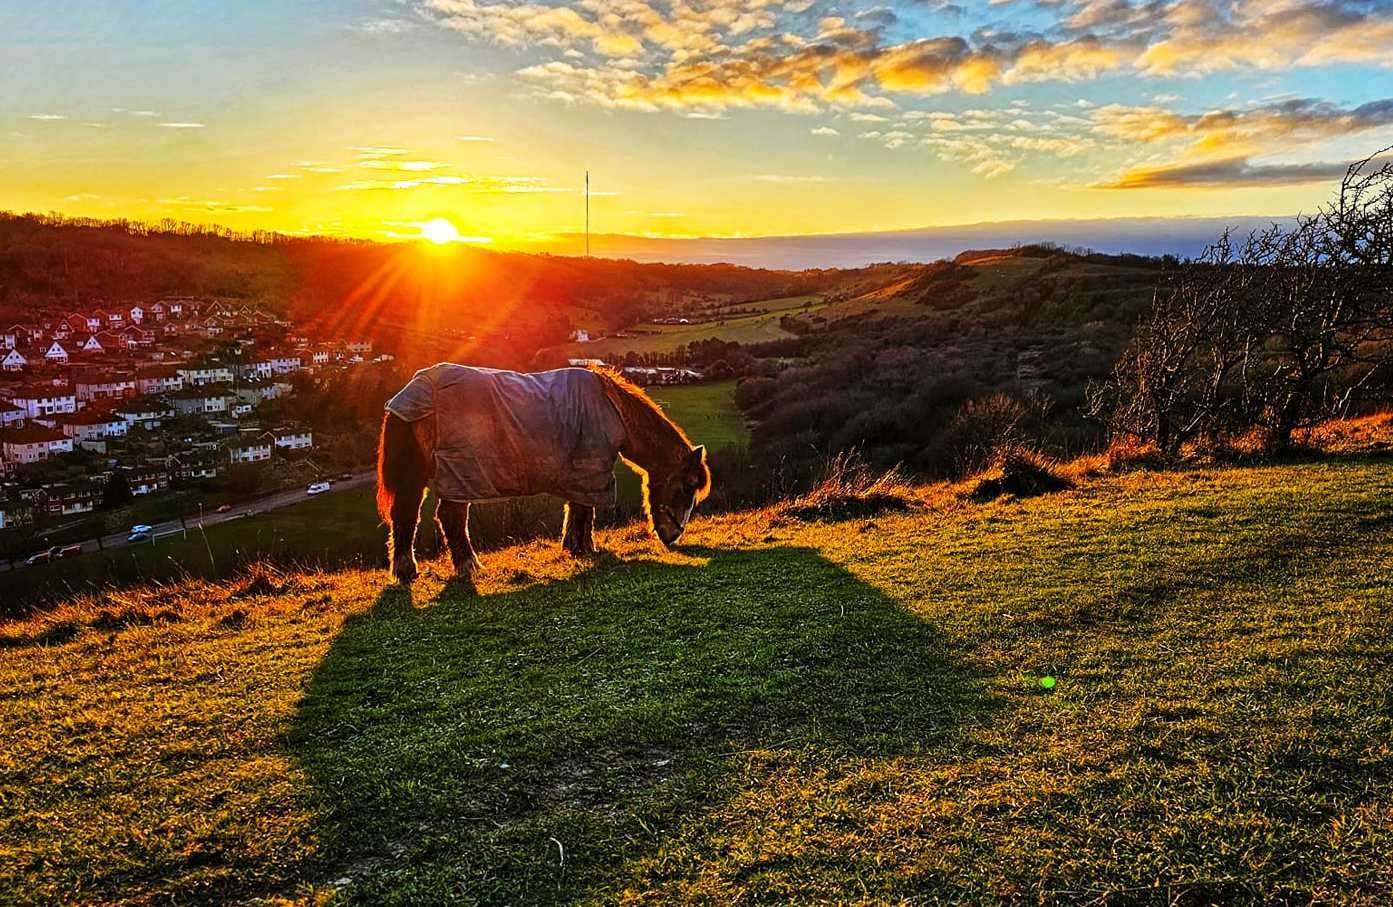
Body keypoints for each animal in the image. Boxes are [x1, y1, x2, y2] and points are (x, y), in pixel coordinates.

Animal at [376, 365, 713, 585]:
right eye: (688, 486)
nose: (673, 537)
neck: (614, 411)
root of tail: (415, 389)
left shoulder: (581, 475)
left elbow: (578, 510)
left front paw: (578, 546)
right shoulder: (590, 469)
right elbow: (584, 511)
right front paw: (582, 548)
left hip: (422, 474)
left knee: (406, 515)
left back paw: (407, 571)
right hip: (458, 473)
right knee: (450, 516)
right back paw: (466, 565)